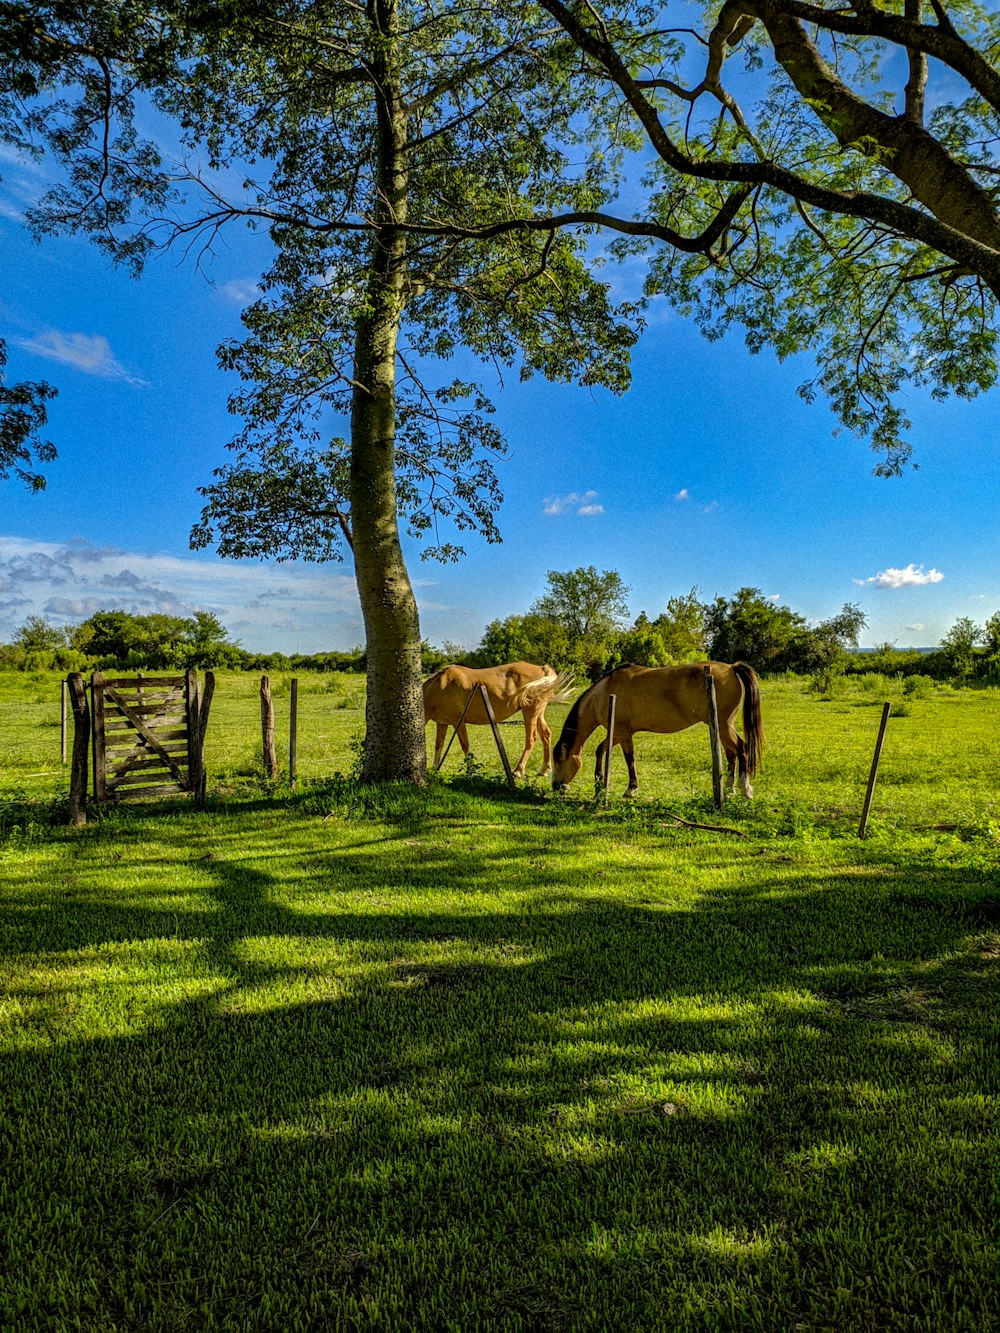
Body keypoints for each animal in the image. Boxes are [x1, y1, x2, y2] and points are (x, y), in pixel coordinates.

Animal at [424, 661, 578, 778]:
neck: (442, 686)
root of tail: (541, 668)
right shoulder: (441, 723)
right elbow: (439, 745)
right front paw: (434, 769)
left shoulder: (459, 722)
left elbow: (465, 746)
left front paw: (470, 770)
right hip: (538, 714)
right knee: (546, 735)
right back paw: (544, 770)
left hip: (530, 712)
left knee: (531, 739)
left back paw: (518, 771)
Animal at [552, 661, 762, 794]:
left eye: (559, 760)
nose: (555, 786)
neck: (604, 693)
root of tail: (731, 668)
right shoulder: (616, 734)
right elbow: (600, 750)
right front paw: (599, 783)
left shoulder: (623, 734)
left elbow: (629, 758)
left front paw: (631, 788)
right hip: (721, 728)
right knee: (731, 754)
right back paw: (729, 787)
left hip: (724, 726)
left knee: (742, 749)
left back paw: (744, 789)